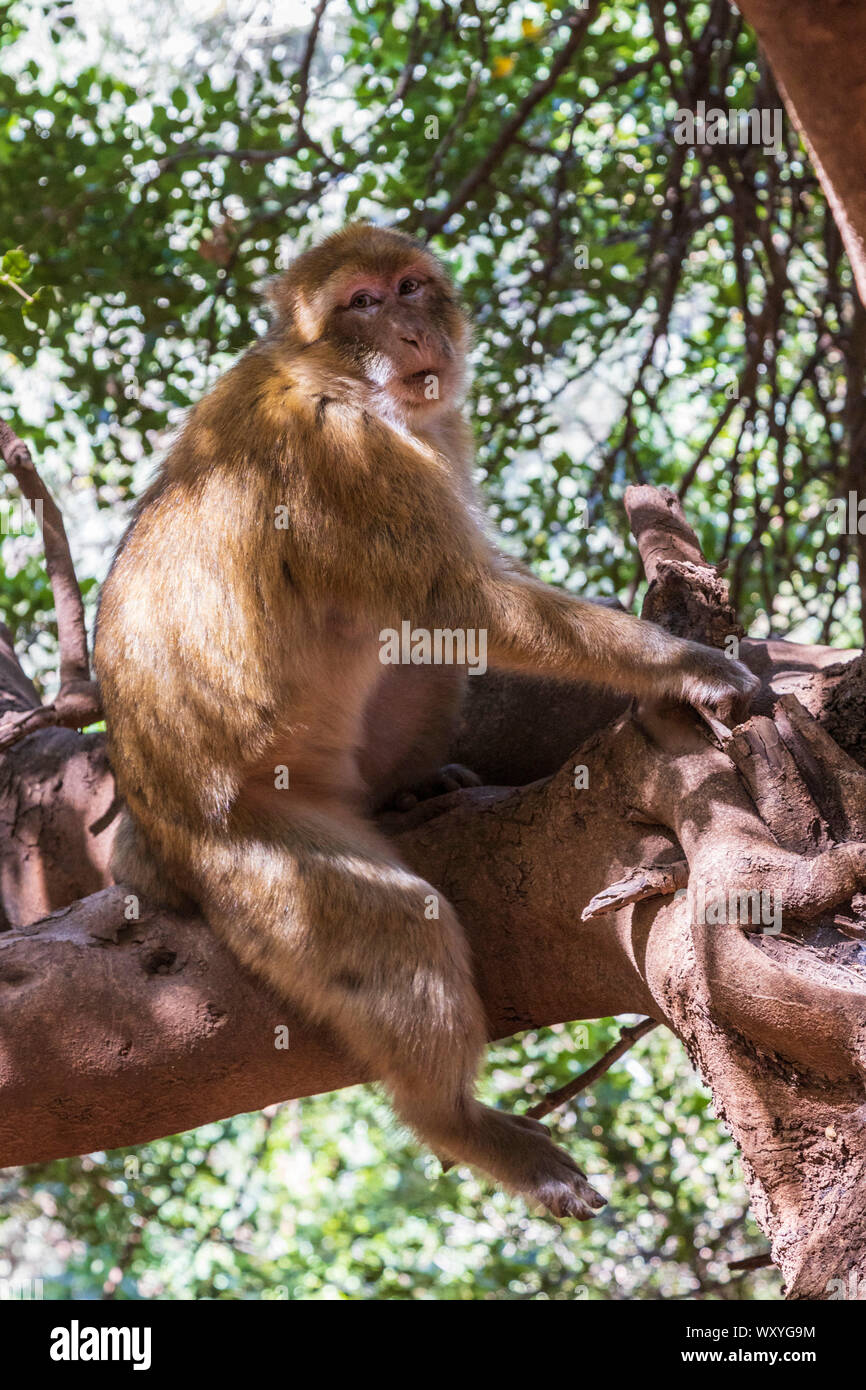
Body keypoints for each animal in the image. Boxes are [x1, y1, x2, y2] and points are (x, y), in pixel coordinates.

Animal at [93, 223, 759, 1220]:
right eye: (362, 303)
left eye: (410, 287)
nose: (410, 332)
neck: (337, 377)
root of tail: (151, 823)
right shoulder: (345, 451)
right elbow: (464, 600)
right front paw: (686, 665)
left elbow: (441, 621)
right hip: (242, 844)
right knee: (394, 919)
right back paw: (459, 1121)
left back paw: (410, 792)